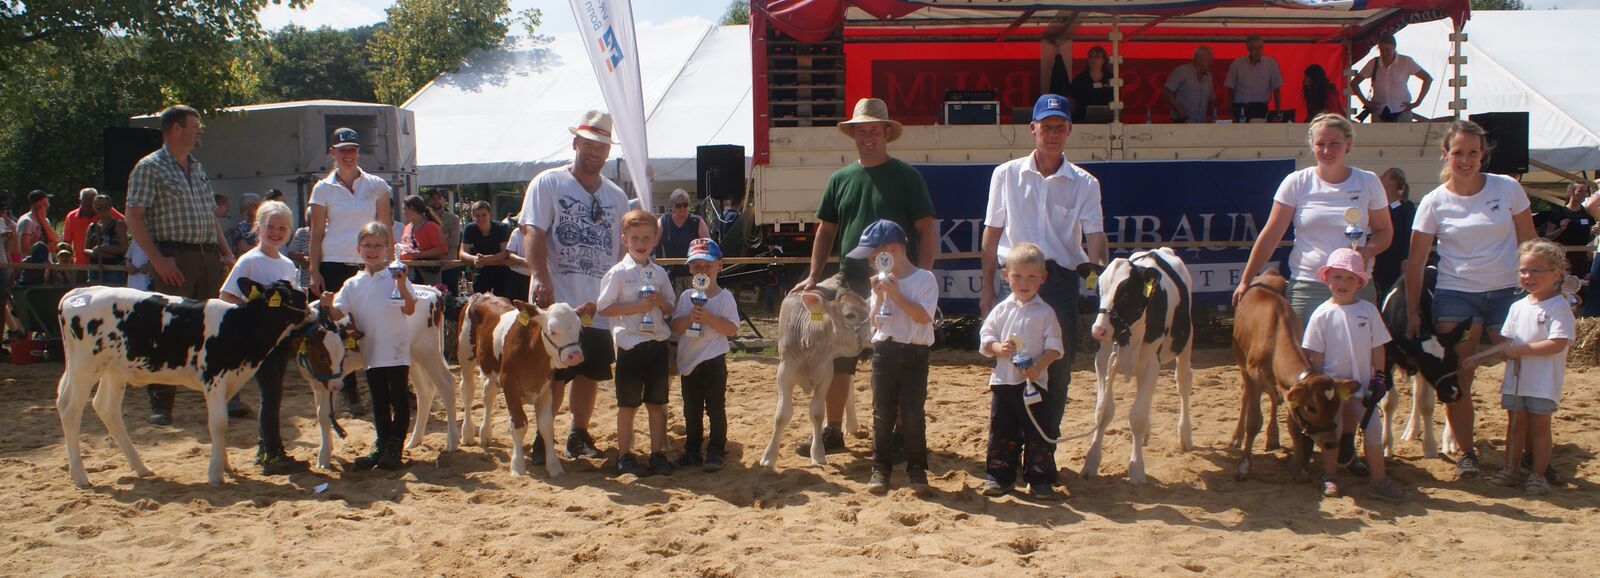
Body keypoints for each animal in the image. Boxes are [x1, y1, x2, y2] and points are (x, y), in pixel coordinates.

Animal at [58, 278, 312, 486]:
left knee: (106, 408)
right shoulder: (214, 378)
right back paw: (80, 477)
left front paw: (225, 465)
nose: (312, 307)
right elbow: (219, 423)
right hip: (85, 366)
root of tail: (81, 292)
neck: (235, 326)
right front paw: (215, 474)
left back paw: (141, 468)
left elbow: (221, 423)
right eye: (296, 295)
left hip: (113, 370)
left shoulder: (230, 381)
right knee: (71, 410)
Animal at [457, 294, 582, 473]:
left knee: (488, 395)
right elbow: (518, 425)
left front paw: (554, 467)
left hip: (491, 370)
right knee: (467, 392)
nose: (576, 355)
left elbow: (546, 426)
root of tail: (481, 295)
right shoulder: (510, 385)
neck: (531, 351)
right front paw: (517, 467)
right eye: (553, 330)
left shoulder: (547, 386)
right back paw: (467, 434)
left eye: (579, 329)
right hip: (465, 356)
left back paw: (485, 434)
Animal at [755, 275, 870, 467]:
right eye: (850, 315)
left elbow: (817, 413)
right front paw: (769, 456)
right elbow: (782, 414)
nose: (876, 330)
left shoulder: (826, 375)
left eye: (869, 311)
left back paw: (852, 424)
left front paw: (818, 454)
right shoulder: (784, 374)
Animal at [1081, 246, 1196, 480]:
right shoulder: (1103, 360)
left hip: (1186, 340)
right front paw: (1091, 462)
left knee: (1183, 383)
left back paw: (1185, 435)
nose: (1099, 330)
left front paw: (1136, 469)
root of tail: (1160, 249)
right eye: (1099, 290)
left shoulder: (1152, 364)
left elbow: (1137, 417)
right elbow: (1103, 411)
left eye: (1126, 292)